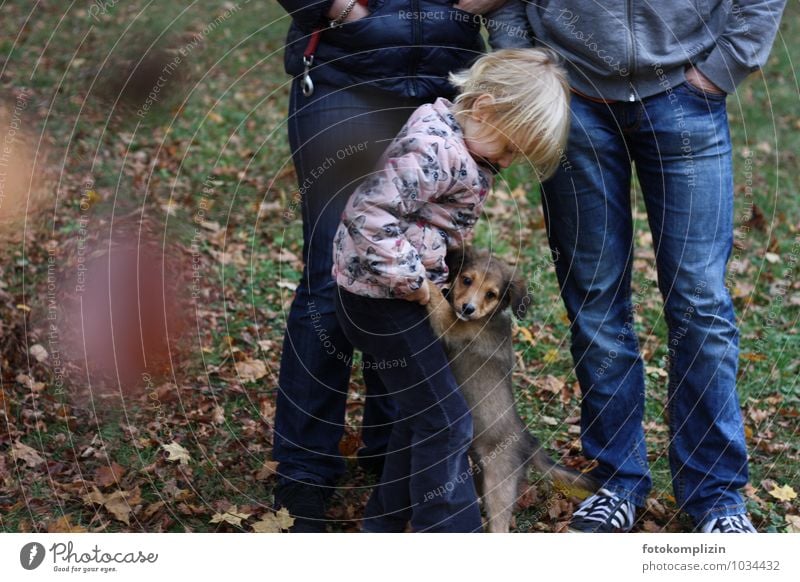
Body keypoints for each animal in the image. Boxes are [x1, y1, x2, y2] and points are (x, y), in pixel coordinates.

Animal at [428, 246, 596, 532]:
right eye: (467, 280)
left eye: (491, 294)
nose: (468, 308)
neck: (487, 318)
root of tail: (530, 442)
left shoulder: (452, 324)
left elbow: (437, 303)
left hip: (499, 484)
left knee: (501, 524)